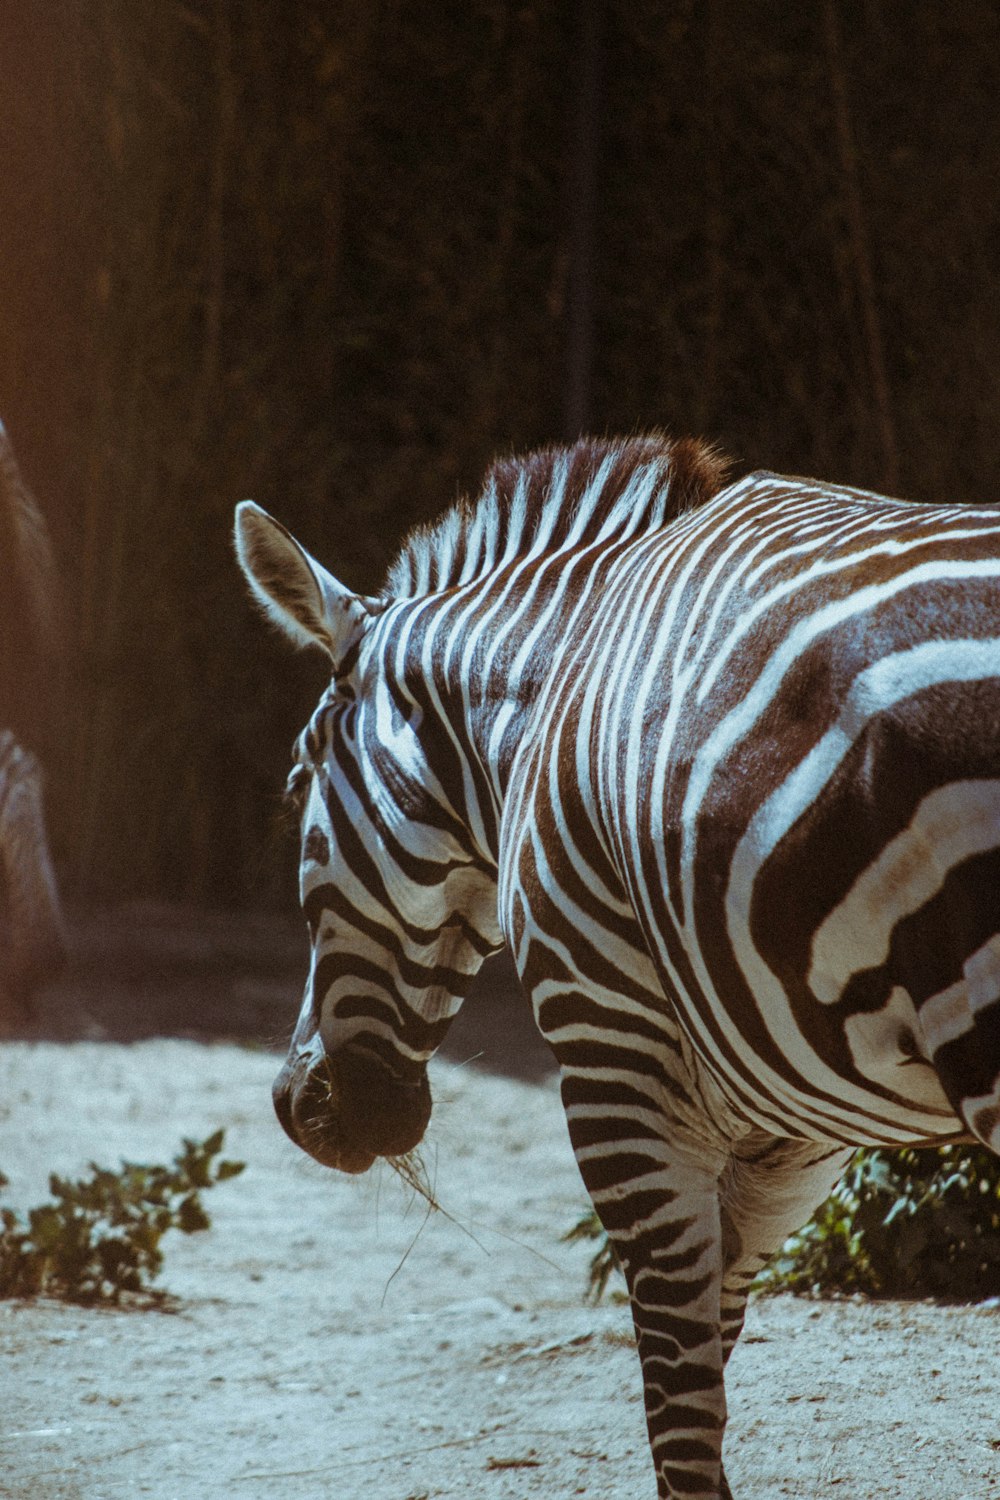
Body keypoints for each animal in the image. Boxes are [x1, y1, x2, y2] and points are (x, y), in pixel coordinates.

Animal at [232, 429, 1000, 1494]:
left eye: (299, 777)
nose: (297, 1105)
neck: (558, 678)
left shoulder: (616, 1056)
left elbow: (678, 1409)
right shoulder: (792, 1126)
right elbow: (708, 1361)